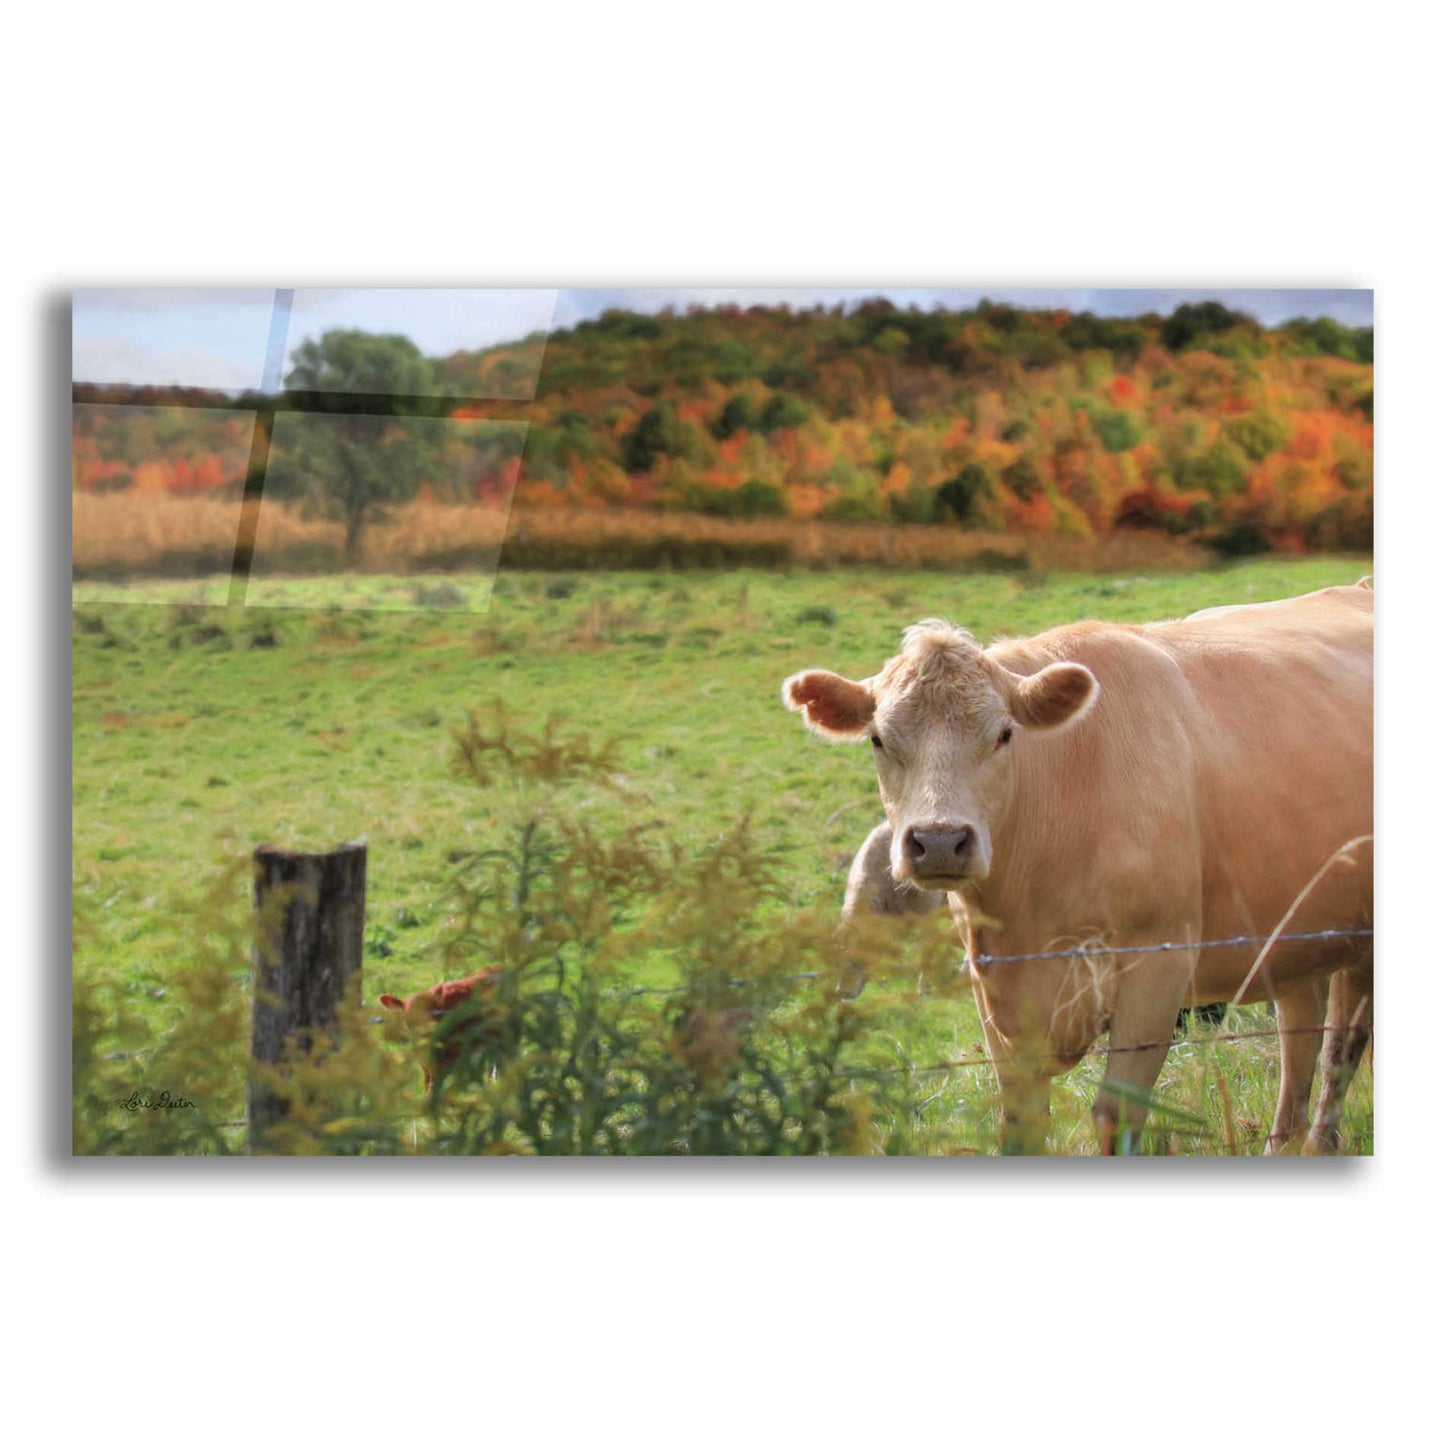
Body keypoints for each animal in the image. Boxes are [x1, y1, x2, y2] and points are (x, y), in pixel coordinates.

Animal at [785, 582, 1373, 1154]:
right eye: (878, 739)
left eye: (1004, 734)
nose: (940, 841)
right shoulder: (994, 990)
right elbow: (1022, 1125)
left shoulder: (1157, 970)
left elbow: (1117, 1117)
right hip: (1295, 936)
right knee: (1300, 1034)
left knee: (1340, 1050)